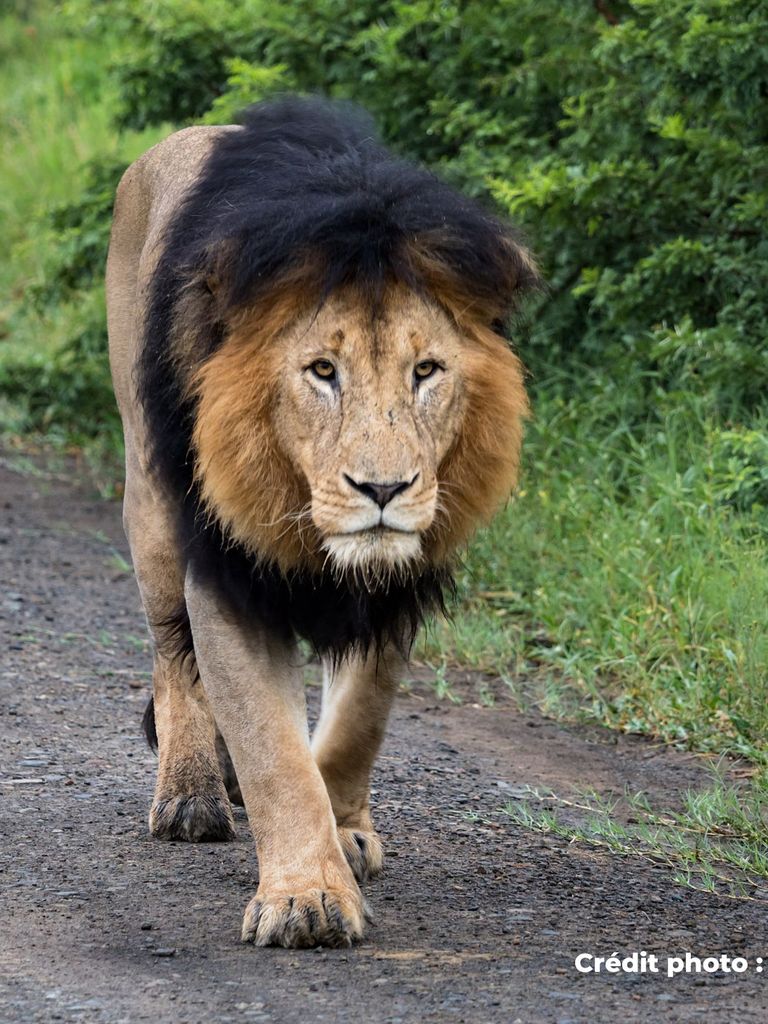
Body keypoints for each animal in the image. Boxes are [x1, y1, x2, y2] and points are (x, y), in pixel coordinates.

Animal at [106, 97, 537, 949]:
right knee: (173, 660)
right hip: (153, 505)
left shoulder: (400, 581)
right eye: (322, 372)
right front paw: (305, 898)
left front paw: (344, 834)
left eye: (426, 370)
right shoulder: (228, 572)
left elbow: (354, 725)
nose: (383, 487)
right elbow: (273, 752)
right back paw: (191, 795)